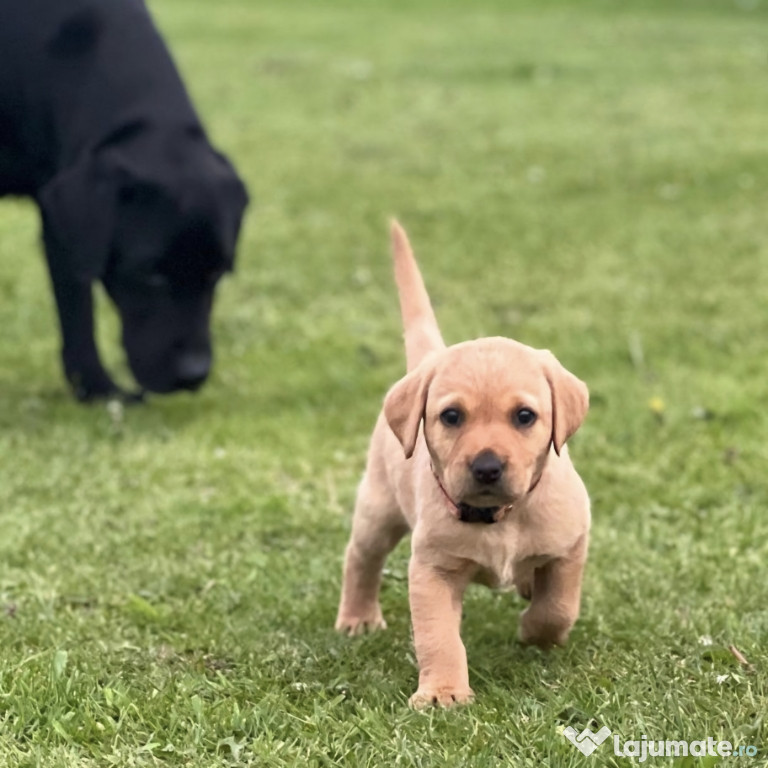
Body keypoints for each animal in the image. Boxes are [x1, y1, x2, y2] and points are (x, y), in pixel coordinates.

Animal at [0, 0, 248, 400]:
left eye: (216, 272)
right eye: (150, 274)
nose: (192, 375)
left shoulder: (60, 215)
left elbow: (75, 303)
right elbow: (78, 307)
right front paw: (102, 392)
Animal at [332, 220, 592, 708]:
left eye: (524, 416)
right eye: (451, 416)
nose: (487, 467)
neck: (499, 518)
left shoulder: (570, 544)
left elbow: (559, 606)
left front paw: (535, 630)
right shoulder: (433, 570)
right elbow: (438, 636)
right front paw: (442, 692)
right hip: (379, 508)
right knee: (360, 557)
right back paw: (357, 616)